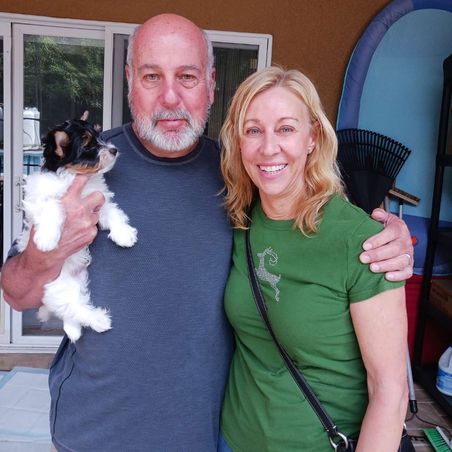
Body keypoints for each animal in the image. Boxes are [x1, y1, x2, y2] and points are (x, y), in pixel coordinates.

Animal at [17, 117, 137, 342]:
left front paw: (124, 234)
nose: (114, 150)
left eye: (99, 136)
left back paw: (74, 328)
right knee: (73, 307)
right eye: (88, 145)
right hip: (57, 286)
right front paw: (46, 240)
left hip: (77, 280)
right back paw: (99, 320)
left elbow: (113, 213)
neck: (72, 176)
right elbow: (53, 205)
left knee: (72, 309)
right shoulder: (40, 199)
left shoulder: (98, 200)